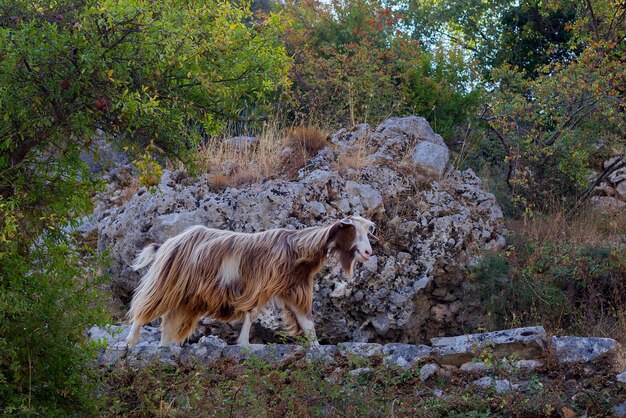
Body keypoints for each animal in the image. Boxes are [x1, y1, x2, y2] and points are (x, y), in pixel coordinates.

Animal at [124, 216, 372, 346]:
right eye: (352, 229)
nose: (368, 252)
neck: (296, 249)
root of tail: (167, 243)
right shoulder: (261, 286)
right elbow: (252, 314)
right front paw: (244, 343)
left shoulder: (292, 290)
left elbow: (306, 322)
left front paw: (315, 347)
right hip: (165, 282)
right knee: (145, 308)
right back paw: (131, 343)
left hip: (185, 297)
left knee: (168, 321)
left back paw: (165, 347)